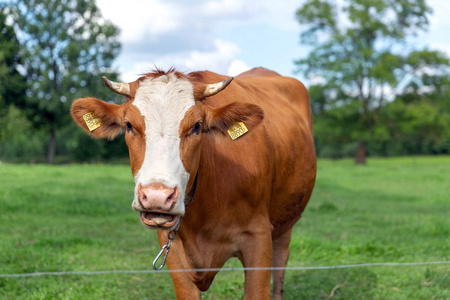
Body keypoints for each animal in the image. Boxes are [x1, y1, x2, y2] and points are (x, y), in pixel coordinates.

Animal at [71, 67, 316, 298]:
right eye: (129, 125)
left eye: (197, 126)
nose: (157, 197)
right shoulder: (172, 251)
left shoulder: (259, 238)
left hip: (284, 226)